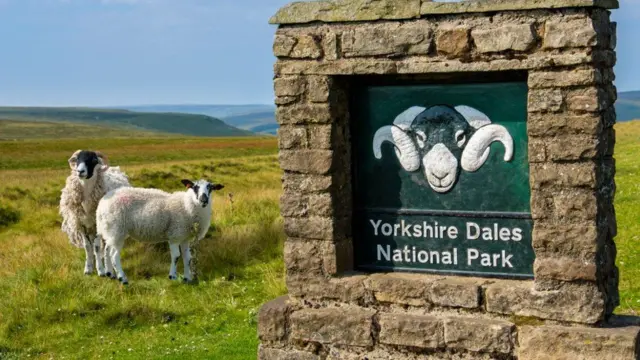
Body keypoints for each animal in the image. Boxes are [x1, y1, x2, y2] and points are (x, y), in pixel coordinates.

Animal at [96, 177, 224, 284]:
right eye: (194, 187)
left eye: (210, 188)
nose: (204, 199)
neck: (186, 206)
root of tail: (101, 205)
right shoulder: (175, 235)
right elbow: (176, 256)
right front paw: (172, 276)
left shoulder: (184, 238)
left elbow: (187, 258)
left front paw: (187, 278)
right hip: (117, 230)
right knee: (114, 255)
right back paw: (122, 278)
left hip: (110, 230)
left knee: (107, 250)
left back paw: (110, 274)